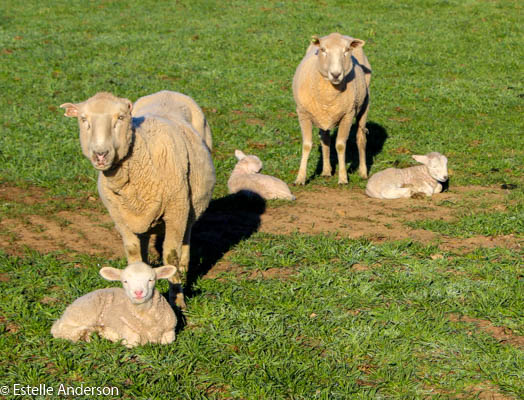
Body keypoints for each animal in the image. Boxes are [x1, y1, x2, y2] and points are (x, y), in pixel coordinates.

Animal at [60, 91, 216, 310]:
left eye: (120, 118)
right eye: (83, 119)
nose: (100, 154)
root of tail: (167, 92)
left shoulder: (176, 210)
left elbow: (171, 257)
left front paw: (177, 300)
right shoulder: (119, 217)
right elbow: (133, 251)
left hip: (189, 203)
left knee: (187, 232)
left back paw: (185, 267)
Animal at [290, 32, 372, 185]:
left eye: (346, 50)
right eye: (322, 50)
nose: (335, 74)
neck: (328, 96)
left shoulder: (348, 114)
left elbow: (340, 145)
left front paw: (343, 178)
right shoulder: (303, 113)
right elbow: (307, 145)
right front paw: (300, 178)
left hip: (364, 104)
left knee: (360, 138)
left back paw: (363, 172)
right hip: (322, 115)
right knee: (325, 138)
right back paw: (326, 171)